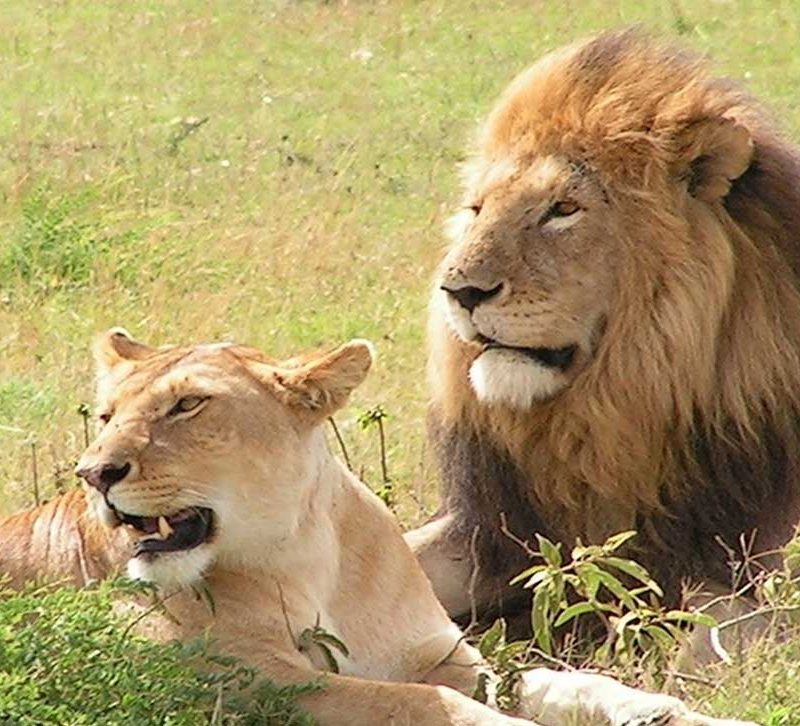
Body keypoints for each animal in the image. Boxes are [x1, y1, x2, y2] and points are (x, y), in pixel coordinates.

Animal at [0, 328, 749, 725]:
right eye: (106, 416)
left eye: (187, 406)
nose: (93, 472)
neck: (302, 558)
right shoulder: (249, 684)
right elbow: (424, 704)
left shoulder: (447, 656)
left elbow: (557, 681)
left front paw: (670, 713)